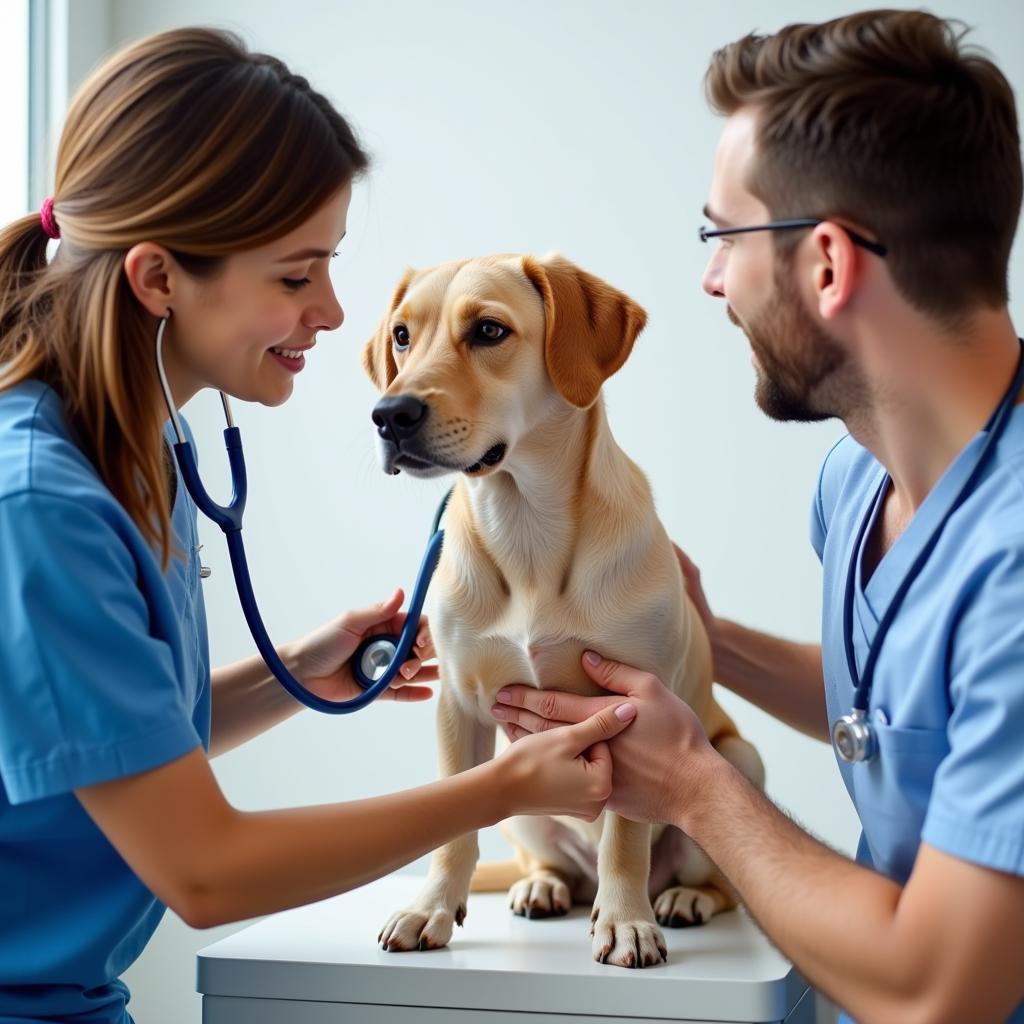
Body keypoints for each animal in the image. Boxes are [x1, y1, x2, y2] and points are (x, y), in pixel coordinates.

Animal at [364, 251, 765, 962]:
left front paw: (627, 920)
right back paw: (545, 886)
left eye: (489, 331)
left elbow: (626, 837)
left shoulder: (637, 712)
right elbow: (453, 831)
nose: (389, 414)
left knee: (709, 879)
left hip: (739, 760)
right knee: (557, 867)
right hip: (519, 793)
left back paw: (678, 899)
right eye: (402, 336)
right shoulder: (458, 704)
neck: (525, 528)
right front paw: (429, 908)